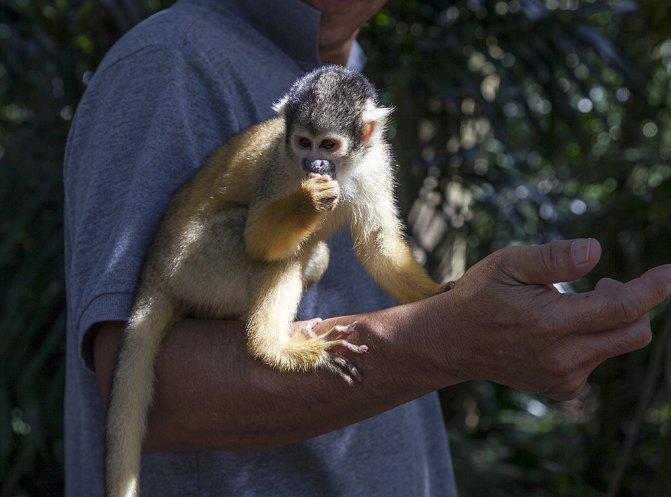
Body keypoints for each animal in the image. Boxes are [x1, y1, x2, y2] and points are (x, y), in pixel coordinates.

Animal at [105, 66, 446, 496]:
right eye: (303, 142)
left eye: (328, 144)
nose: (314, 162)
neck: (343, 170)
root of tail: (153, 267)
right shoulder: (282, 164)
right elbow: (258, 239)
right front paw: (310, 198)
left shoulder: (375, 162)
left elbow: (376, 242)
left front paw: (436, 292)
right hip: (194, 262)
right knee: (281, 251)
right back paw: (272, 347)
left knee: (314, 254)